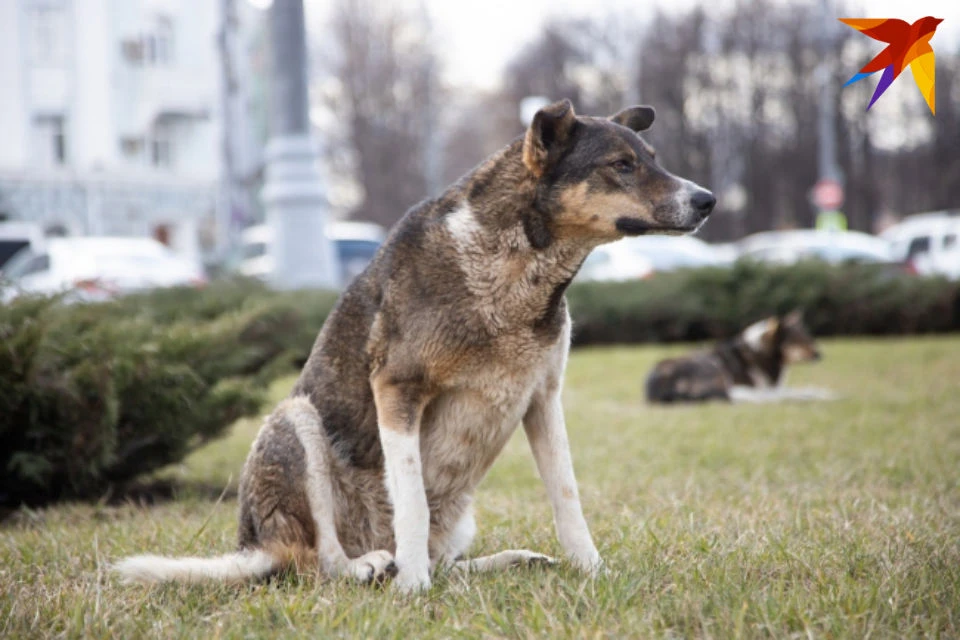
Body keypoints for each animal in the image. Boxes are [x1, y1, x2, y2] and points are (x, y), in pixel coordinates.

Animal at [114, 100, 712, 596]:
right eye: (621, 165)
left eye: (651, 159)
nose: (706, 200)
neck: (512, 267)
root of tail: (253, 547)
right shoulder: (397, 389)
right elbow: (412, 502)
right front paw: (413, 589)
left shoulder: (543, 399)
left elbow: (567, 500)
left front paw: (593, 571)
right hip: (294, 422)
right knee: (317, 560)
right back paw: (372, 566)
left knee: (448, 560)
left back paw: (504, 561)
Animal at [648, 312, 836, 404]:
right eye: (798, 339)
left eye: (808, 336)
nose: (819, 354)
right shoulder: (766, 388)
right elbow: (798, 391)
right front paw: (821, 395)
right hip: (712, 365)